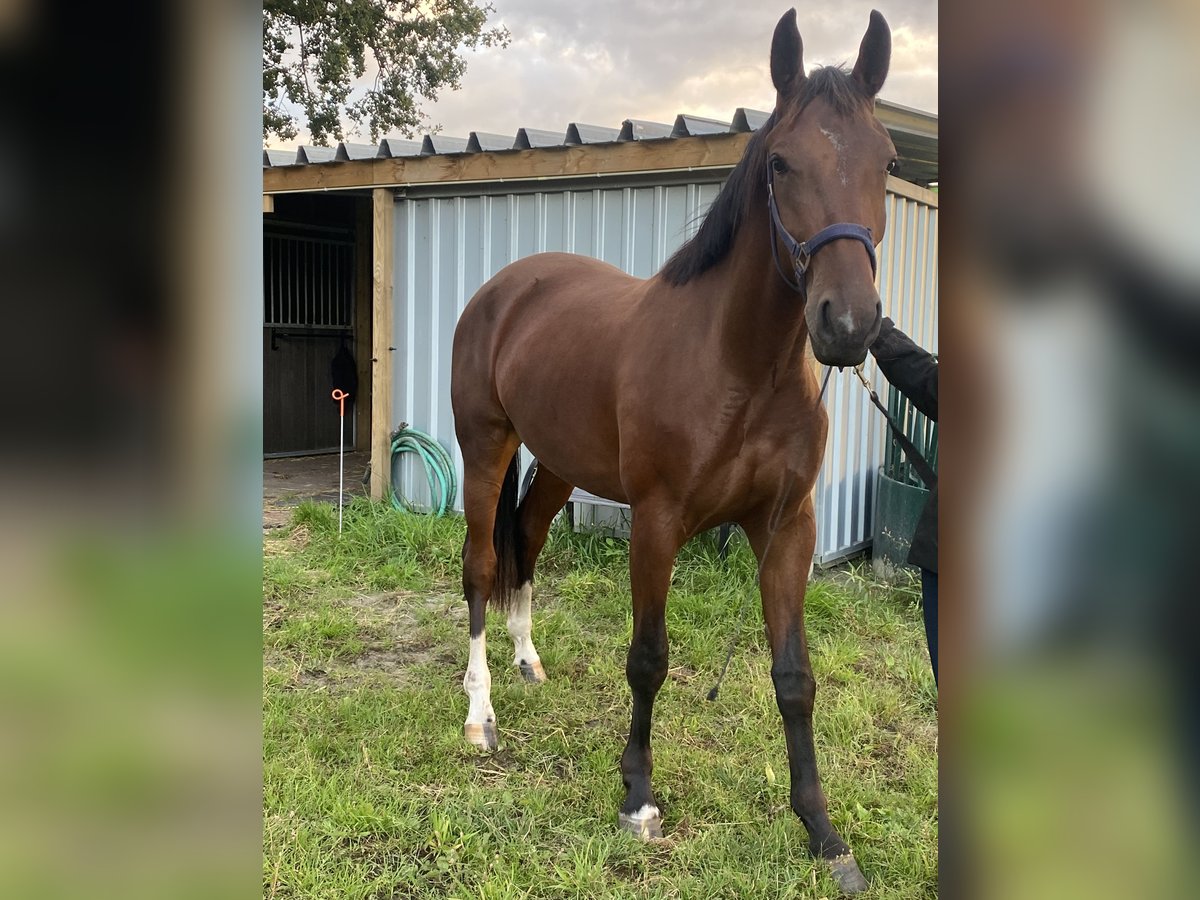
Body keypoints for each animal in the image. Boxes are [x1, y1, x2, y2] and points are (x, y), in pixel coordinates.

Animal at [453, 7, 897, 897]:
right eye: (783, 161)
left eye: (889, 161)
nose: (848, 323)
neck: (740, 366)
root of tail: (505, 288)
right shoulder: (657, 524)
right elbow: (649, 659)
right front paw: (637, 800)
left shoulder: (787, 528)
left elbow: (795, 678)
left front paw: (823, 832)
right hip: (485, 449)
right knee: (482, 566)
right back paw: (481, 716)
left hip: (558, 466)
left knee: (529, 543)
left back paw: (527, 661)